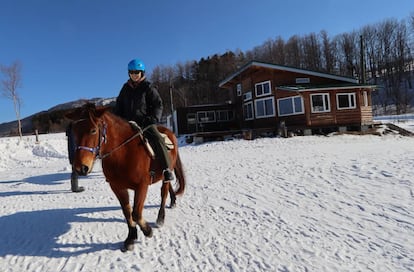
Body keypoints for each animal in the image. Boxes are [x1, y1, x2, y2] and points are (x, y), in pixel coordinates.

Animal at [66, 103, 186, 252]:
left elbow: (136, 213)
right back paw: (173, 201)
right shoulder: (117, 187)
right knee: (169, 188)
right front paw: (131, 238)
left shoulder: (142, 186)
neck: (123, 153)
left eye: (93, 130)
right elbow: (127, 212)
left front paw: (147, 231)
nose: (80, 168)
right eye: (75, 132)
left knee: (164, 193)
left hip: (166, 172)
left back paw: (160, 218)